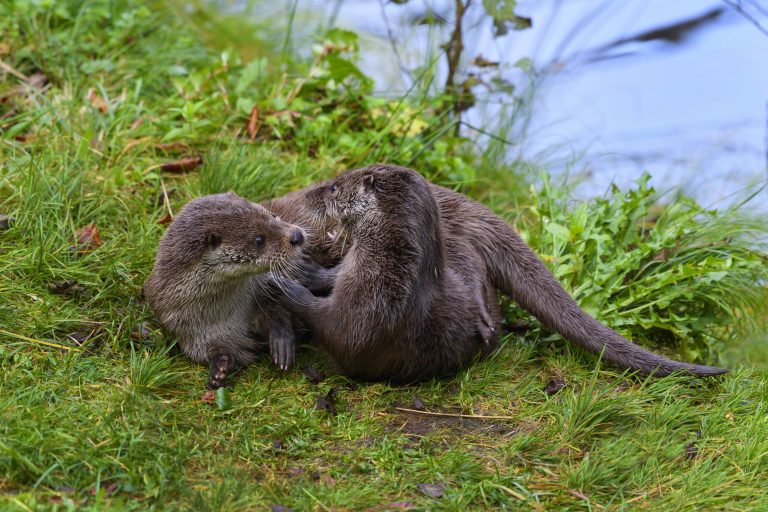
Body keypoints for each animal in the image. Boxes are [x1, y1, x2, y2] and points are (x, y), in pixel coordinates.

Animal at [144, 192, 308, 388]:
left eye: (273, 216)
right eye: (259, 240)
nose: (297, 235)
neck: (227, 314)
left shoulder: (262, 286)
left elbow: (275, 309)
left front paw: (281, 340)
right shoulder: (187, 330)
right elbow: (216, 351)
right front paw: (219, 366)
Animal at [268, 165, 728, 380]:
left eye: (333, 187)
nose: (312, 192)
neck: (392, 269)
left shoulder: (366, 312)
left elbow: (333, 325)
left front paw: (287, 285)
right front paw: (304, 273)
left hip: (459, 249)